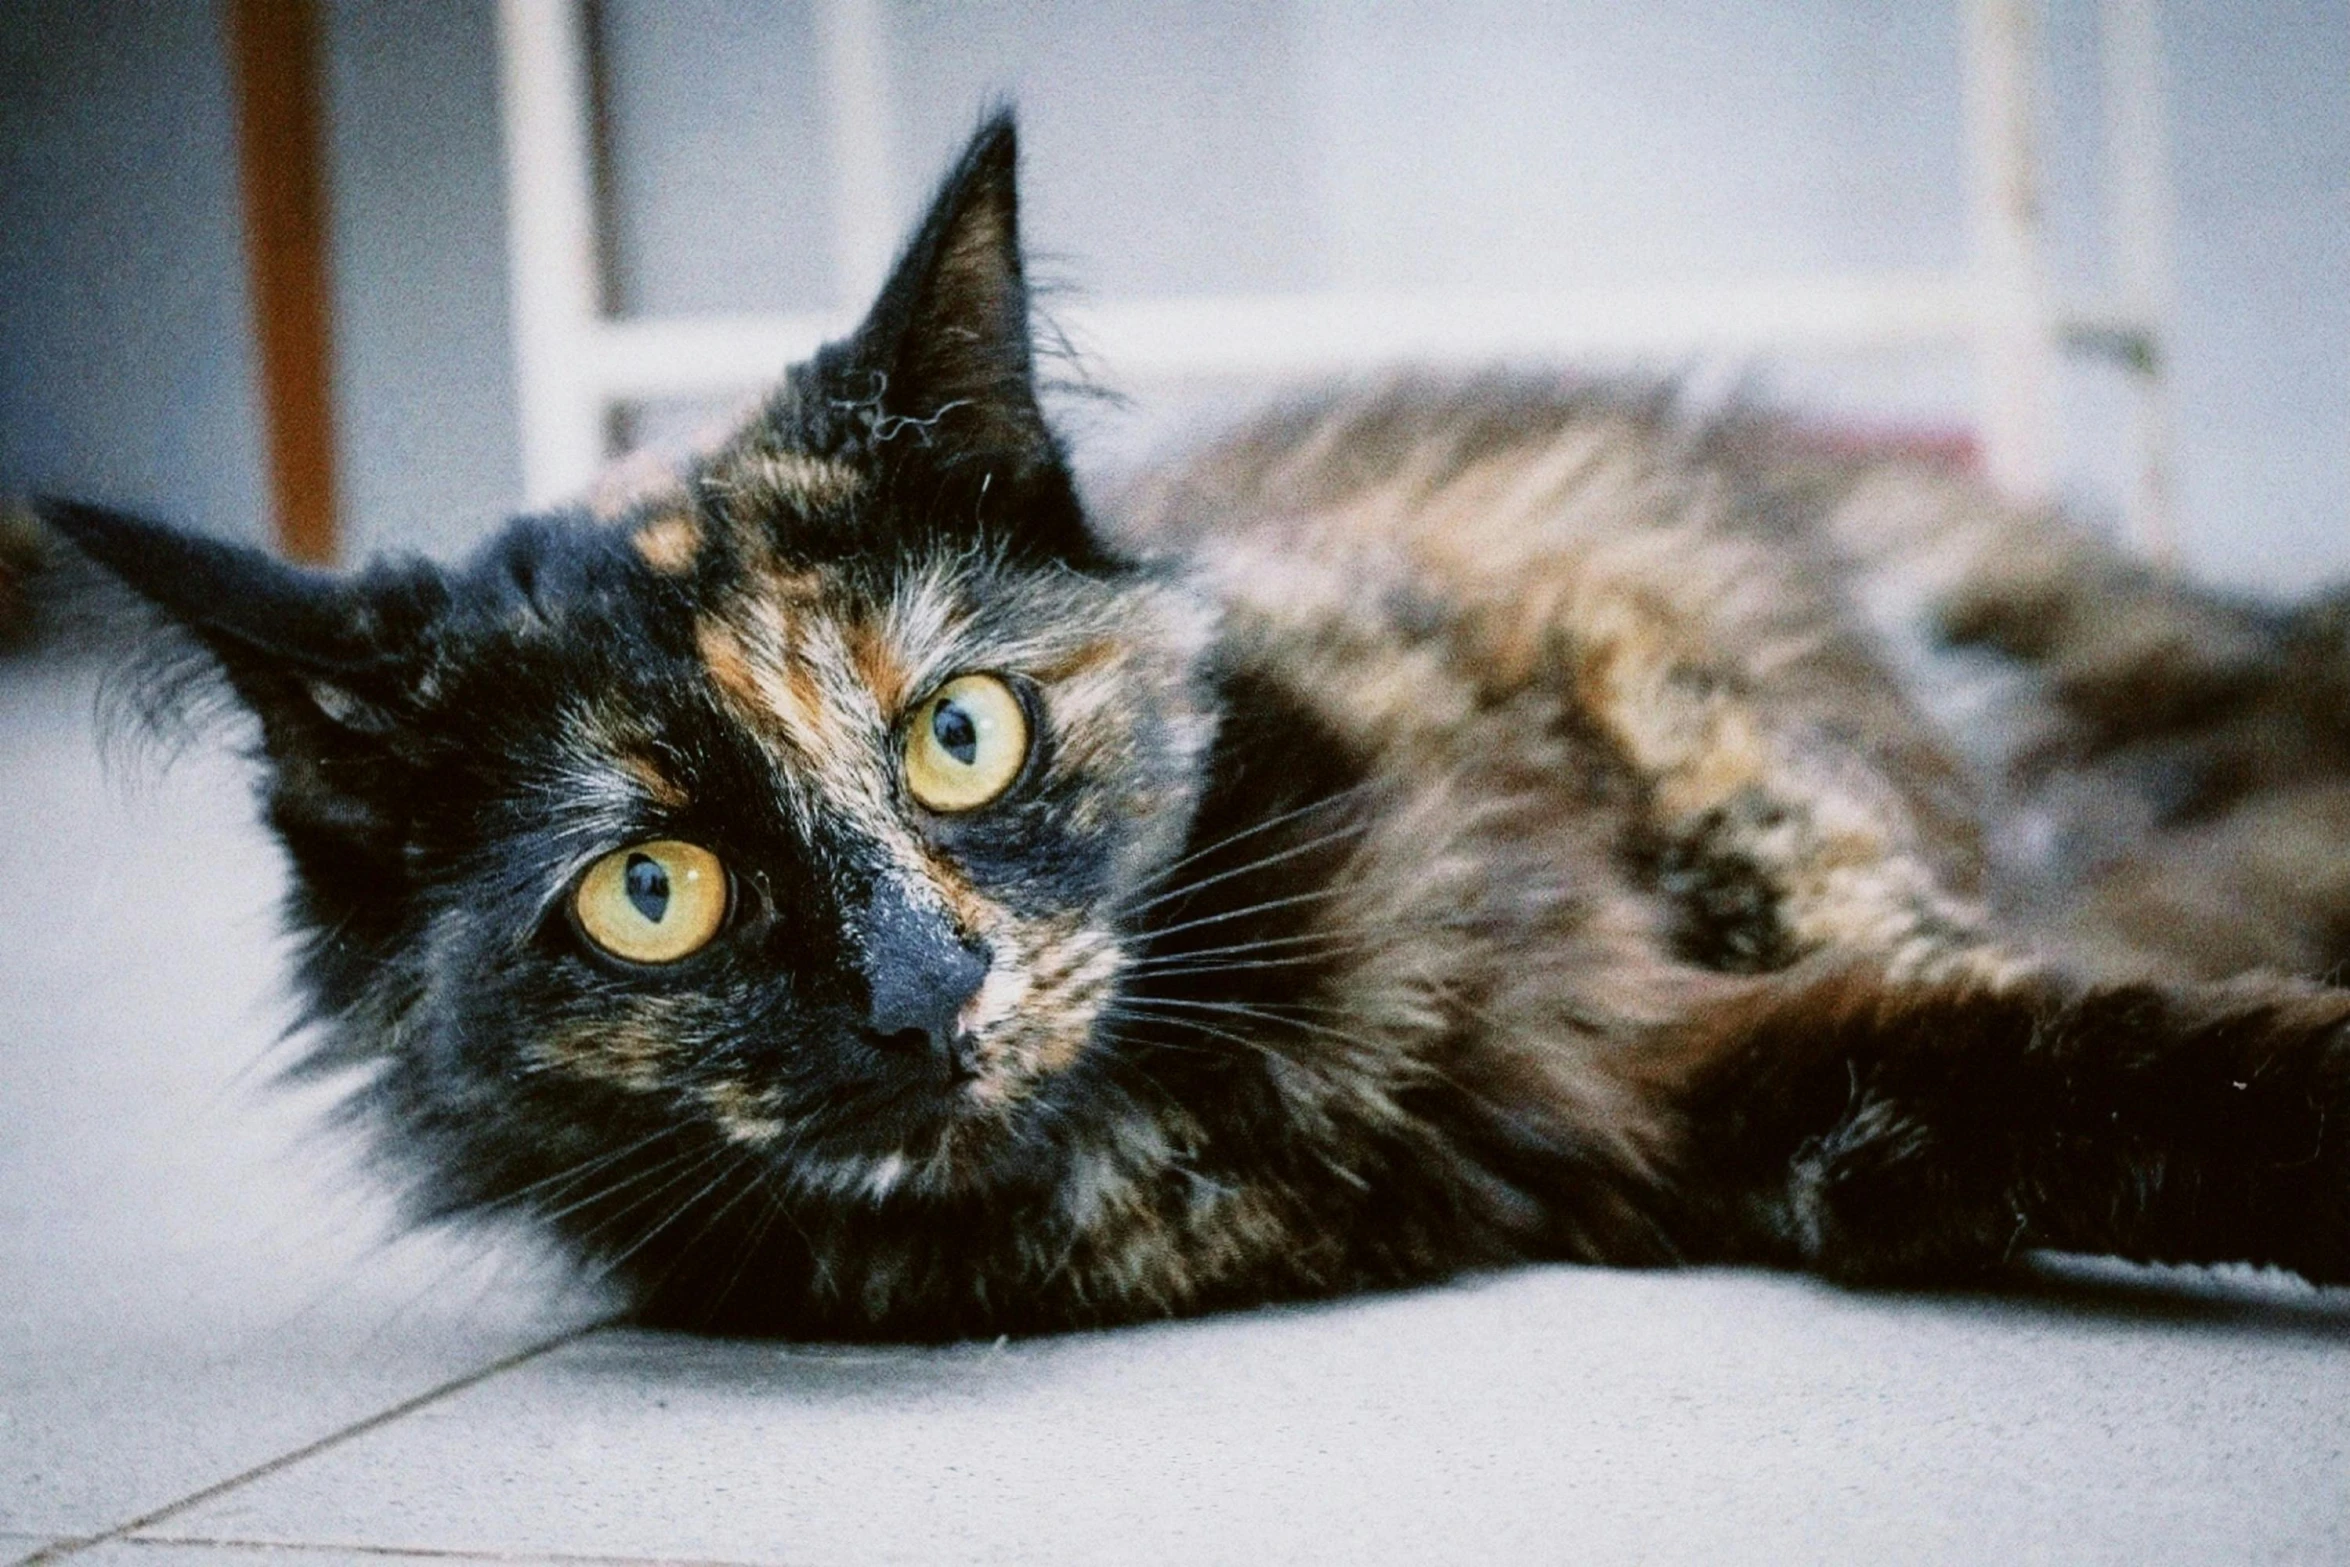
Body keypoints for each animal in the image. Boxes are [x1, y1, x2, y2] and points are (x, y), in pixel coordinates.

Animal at [41, 116, 2350, 1343]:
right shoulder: (1670, 1094)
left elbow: (1848, 866)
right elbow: (2061, 1084)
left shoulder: (1591, 620)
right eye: (652, 893)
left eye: (960, 737)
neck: (1189, 1106)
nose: (923, 997)